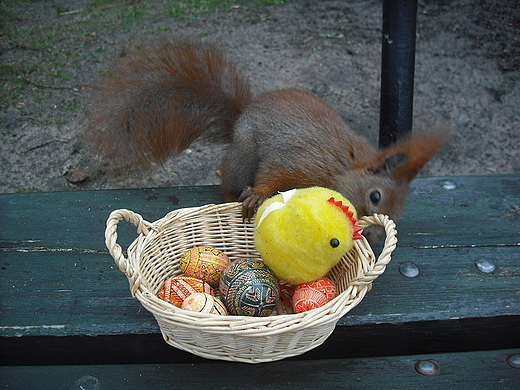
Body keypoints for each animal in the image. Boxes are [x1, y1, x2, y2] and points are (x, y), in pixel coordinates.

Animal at [84, 37, 446, 244]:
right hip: (244, 155)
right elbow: (274, 173)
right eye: (375, 196)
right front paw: (257, 196)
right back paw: (233, 196)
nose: (372, 235)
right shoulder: (301, 161)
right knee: (228, 178)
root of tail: (241, 116)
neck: (344, 166)